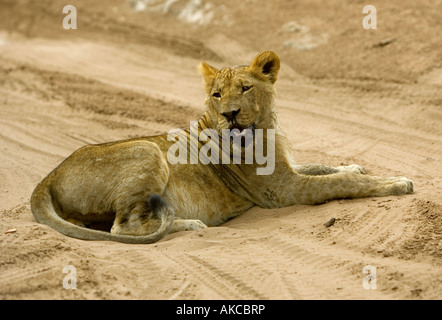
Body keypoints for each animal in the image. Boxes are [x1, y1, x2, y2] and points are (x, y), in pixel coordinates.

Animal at [31, 51, 414, 244]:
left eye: (244, 88)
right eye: (217, 95)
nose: (230, 114)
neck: (266, 127)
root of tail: (46, 178)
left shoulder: (288, 170)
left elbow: (324, 166)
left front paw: (355, 165)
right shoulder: (283, 191)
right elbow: (340, 183)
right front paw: (395, 182)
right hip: (147, 150)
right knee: (121, 227)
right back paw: (189, 225)